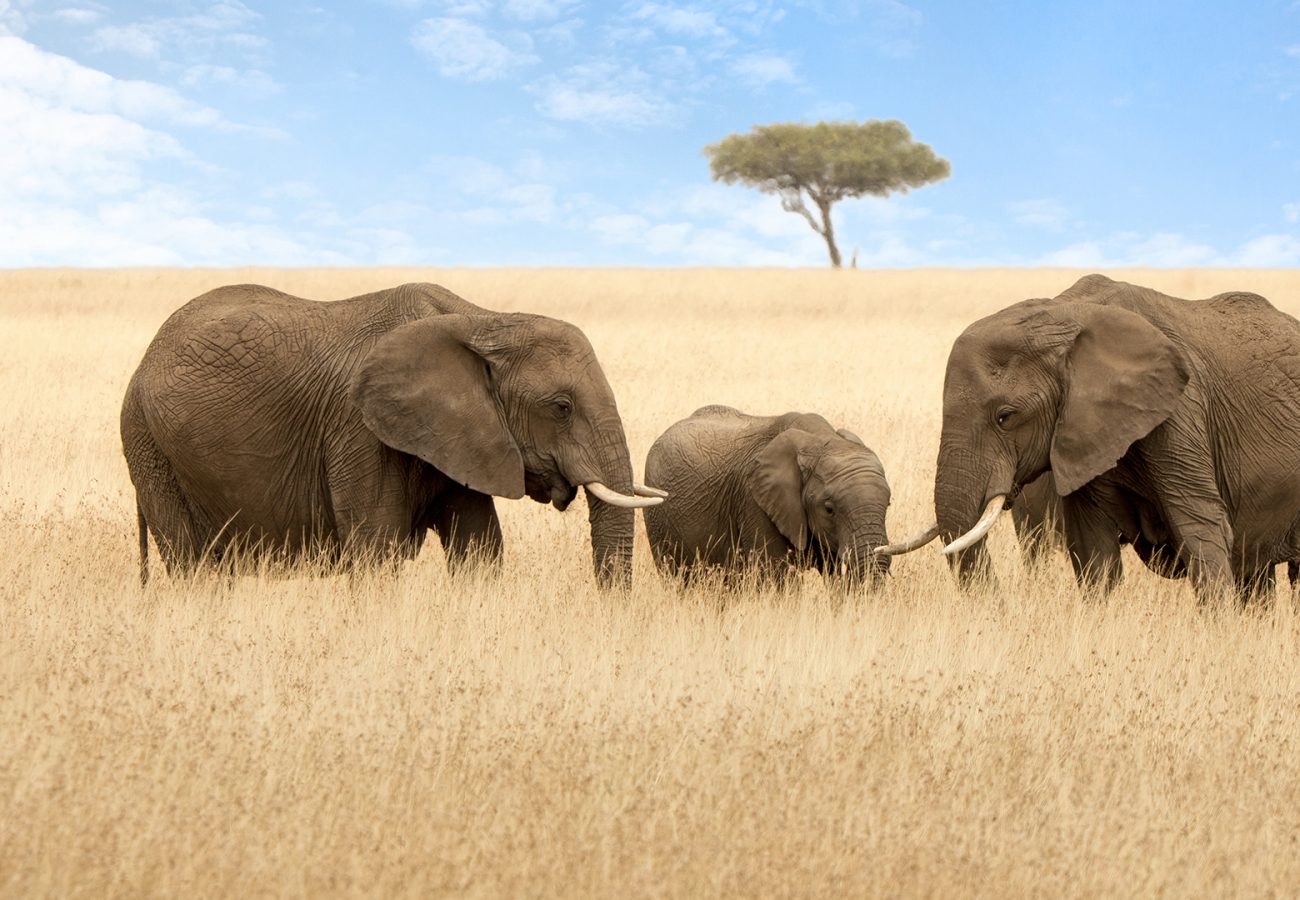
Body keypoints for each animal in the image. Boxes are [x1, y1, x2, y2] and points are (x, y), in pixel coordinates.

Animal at [120, 282, 664, 587]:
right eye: (562, 408)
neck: (483, 320)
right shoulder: (358, 429)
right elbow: (376, 548)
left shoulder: (462, 435)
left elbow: (480, 547)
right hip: (148, 446)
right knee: (192, 565)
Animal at [643, 406, 891, 586]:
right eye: (829, 509)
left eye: (888, 505)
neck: (819, 440)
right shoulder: (754, 502)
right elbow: (777, 578)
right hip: (659, 518)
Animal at [877, 274, 1300, 605]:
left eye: (1005, 417)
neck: (1065, 314)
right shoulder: (1080, 436)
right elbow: (1093, 548)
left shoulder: (1181, 412)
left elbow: (1201, 529)